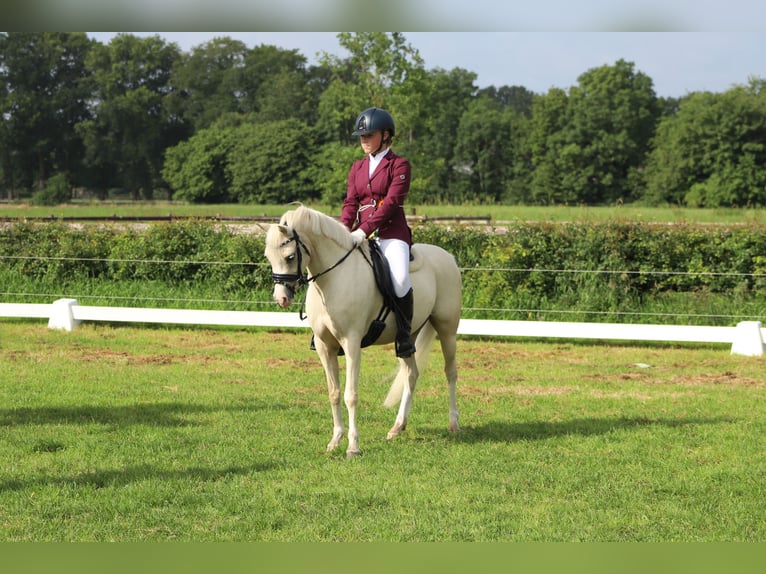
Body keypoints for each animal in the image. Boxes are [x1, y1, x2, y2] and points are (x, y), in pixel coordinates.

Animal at [264, 207, 462, 460]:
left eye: (290, 256)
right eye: (268, 257)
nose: (281, 299)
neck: (333, 279)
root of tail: (449, 257)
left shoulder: (351, 343)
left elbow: (350, 395)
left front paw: (353, 446)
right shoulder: (324, 347)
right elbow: (334, 392)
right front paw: (335, 440)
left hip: (447, 330)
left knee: (451, 372)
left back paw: (453, 423)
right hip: (408, 337)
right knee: (411, 374)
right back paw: (397, 427)